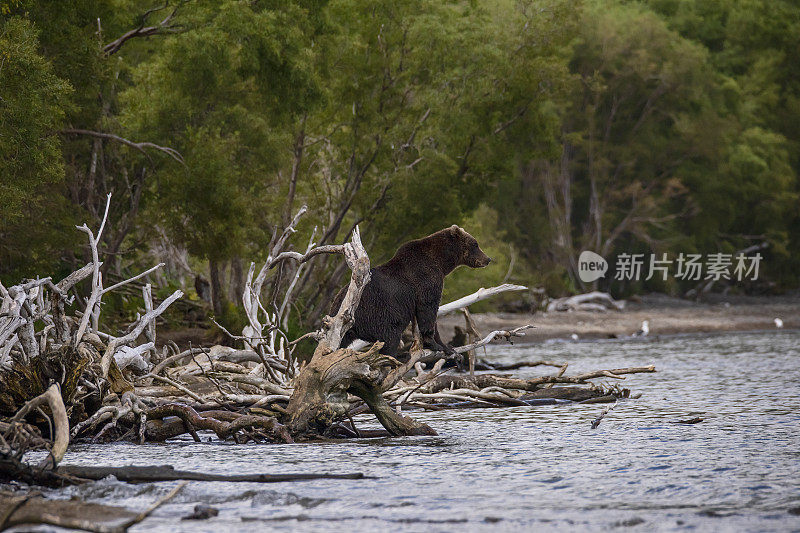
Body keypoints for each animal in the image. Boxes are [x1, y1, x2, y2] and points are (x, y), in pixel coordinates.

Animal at [330, 222, 490, 356]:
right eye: (475, 244)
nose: (487, 259)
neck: (441, 262)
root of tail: (337, 305)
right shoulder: (426, 279)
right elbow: (428, 309)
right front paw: (438, 345)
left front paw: (447, 346)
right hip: (377, 314)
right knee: (390, 338)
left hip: (346, 326)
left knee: (341, 341)